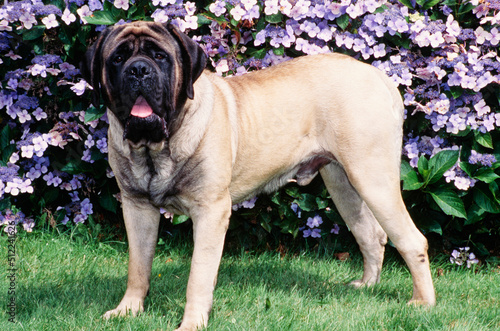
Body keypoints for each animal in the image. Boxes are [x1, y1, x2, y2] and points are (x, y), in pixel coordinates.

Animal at [82, 22, 434, 330]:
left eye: (160, 56)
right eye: (117, 58)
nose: (138, 70)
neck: (155, 147)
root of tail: (378, 76)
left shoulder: (210, 212)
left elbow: (198, 276)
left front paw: (191, 323)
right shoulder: (137, 207)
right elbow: (138, 267)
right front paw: (128, 310)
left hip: (372, 178)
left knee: (412, 240)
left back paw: (423, 303)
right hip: (342, 183)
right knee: (371, 235)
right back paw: (367, 286)